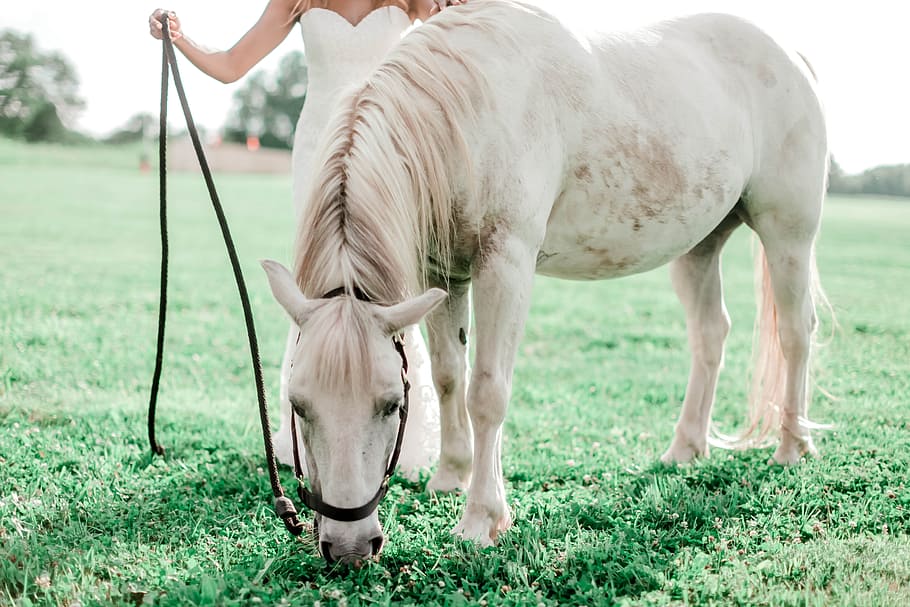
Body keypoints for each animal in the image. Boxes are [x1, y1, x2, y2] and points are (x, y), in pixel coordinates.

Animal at [261, 0, 828, 562]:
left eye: (391, 405)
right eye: (298, 405)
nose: (348, 548)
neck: (466, 110)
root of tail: (792, 56)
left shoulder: (506, 263)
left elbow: (487, 391)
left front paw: (480, 518)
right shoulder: (444, 275)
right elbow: (448, 377)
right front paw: (450, 477)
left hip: (788, 236)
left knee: (796, 333)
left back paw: (791, 447)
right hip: (699, 248)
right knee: (711, 334)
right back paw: (686, 448)